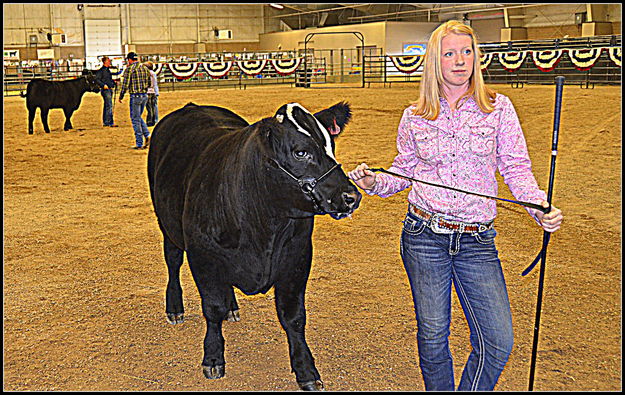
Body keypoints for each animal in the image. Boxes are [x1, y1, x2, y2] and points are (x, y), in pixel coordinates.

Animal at [147, 101, 360, 390]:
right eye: (300, 152)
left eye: (331, 146)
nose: (351, 196)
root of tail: (192, 106)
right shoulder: (203, 257)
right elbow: (212, 308)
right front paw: (213, 358)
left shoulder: (297, 258)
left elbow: (294, 317)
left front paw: (306, 370)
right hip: (167, 222)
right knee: (172, 261)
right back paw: (175, 308)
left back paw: (232, 306)